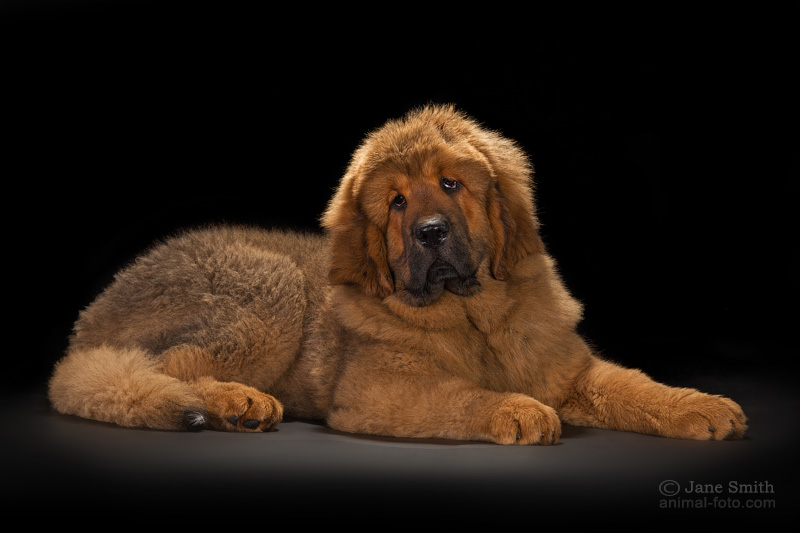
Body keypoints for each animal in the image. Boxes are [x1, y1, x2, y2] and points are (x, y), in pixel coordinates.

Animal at [48, 104, 747, 444]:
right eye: (396, 203)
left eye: (451, 185)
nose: (430, 233)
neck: (472, 316)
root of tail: (92, 312)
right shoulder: (379, 391)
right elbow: (461, 395)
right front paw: (517, 409)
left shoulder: (566, 369)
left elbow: (634, 386)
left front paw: (701, 406)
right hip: (267, 286)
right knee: (160, 367)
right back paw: (233, 402)